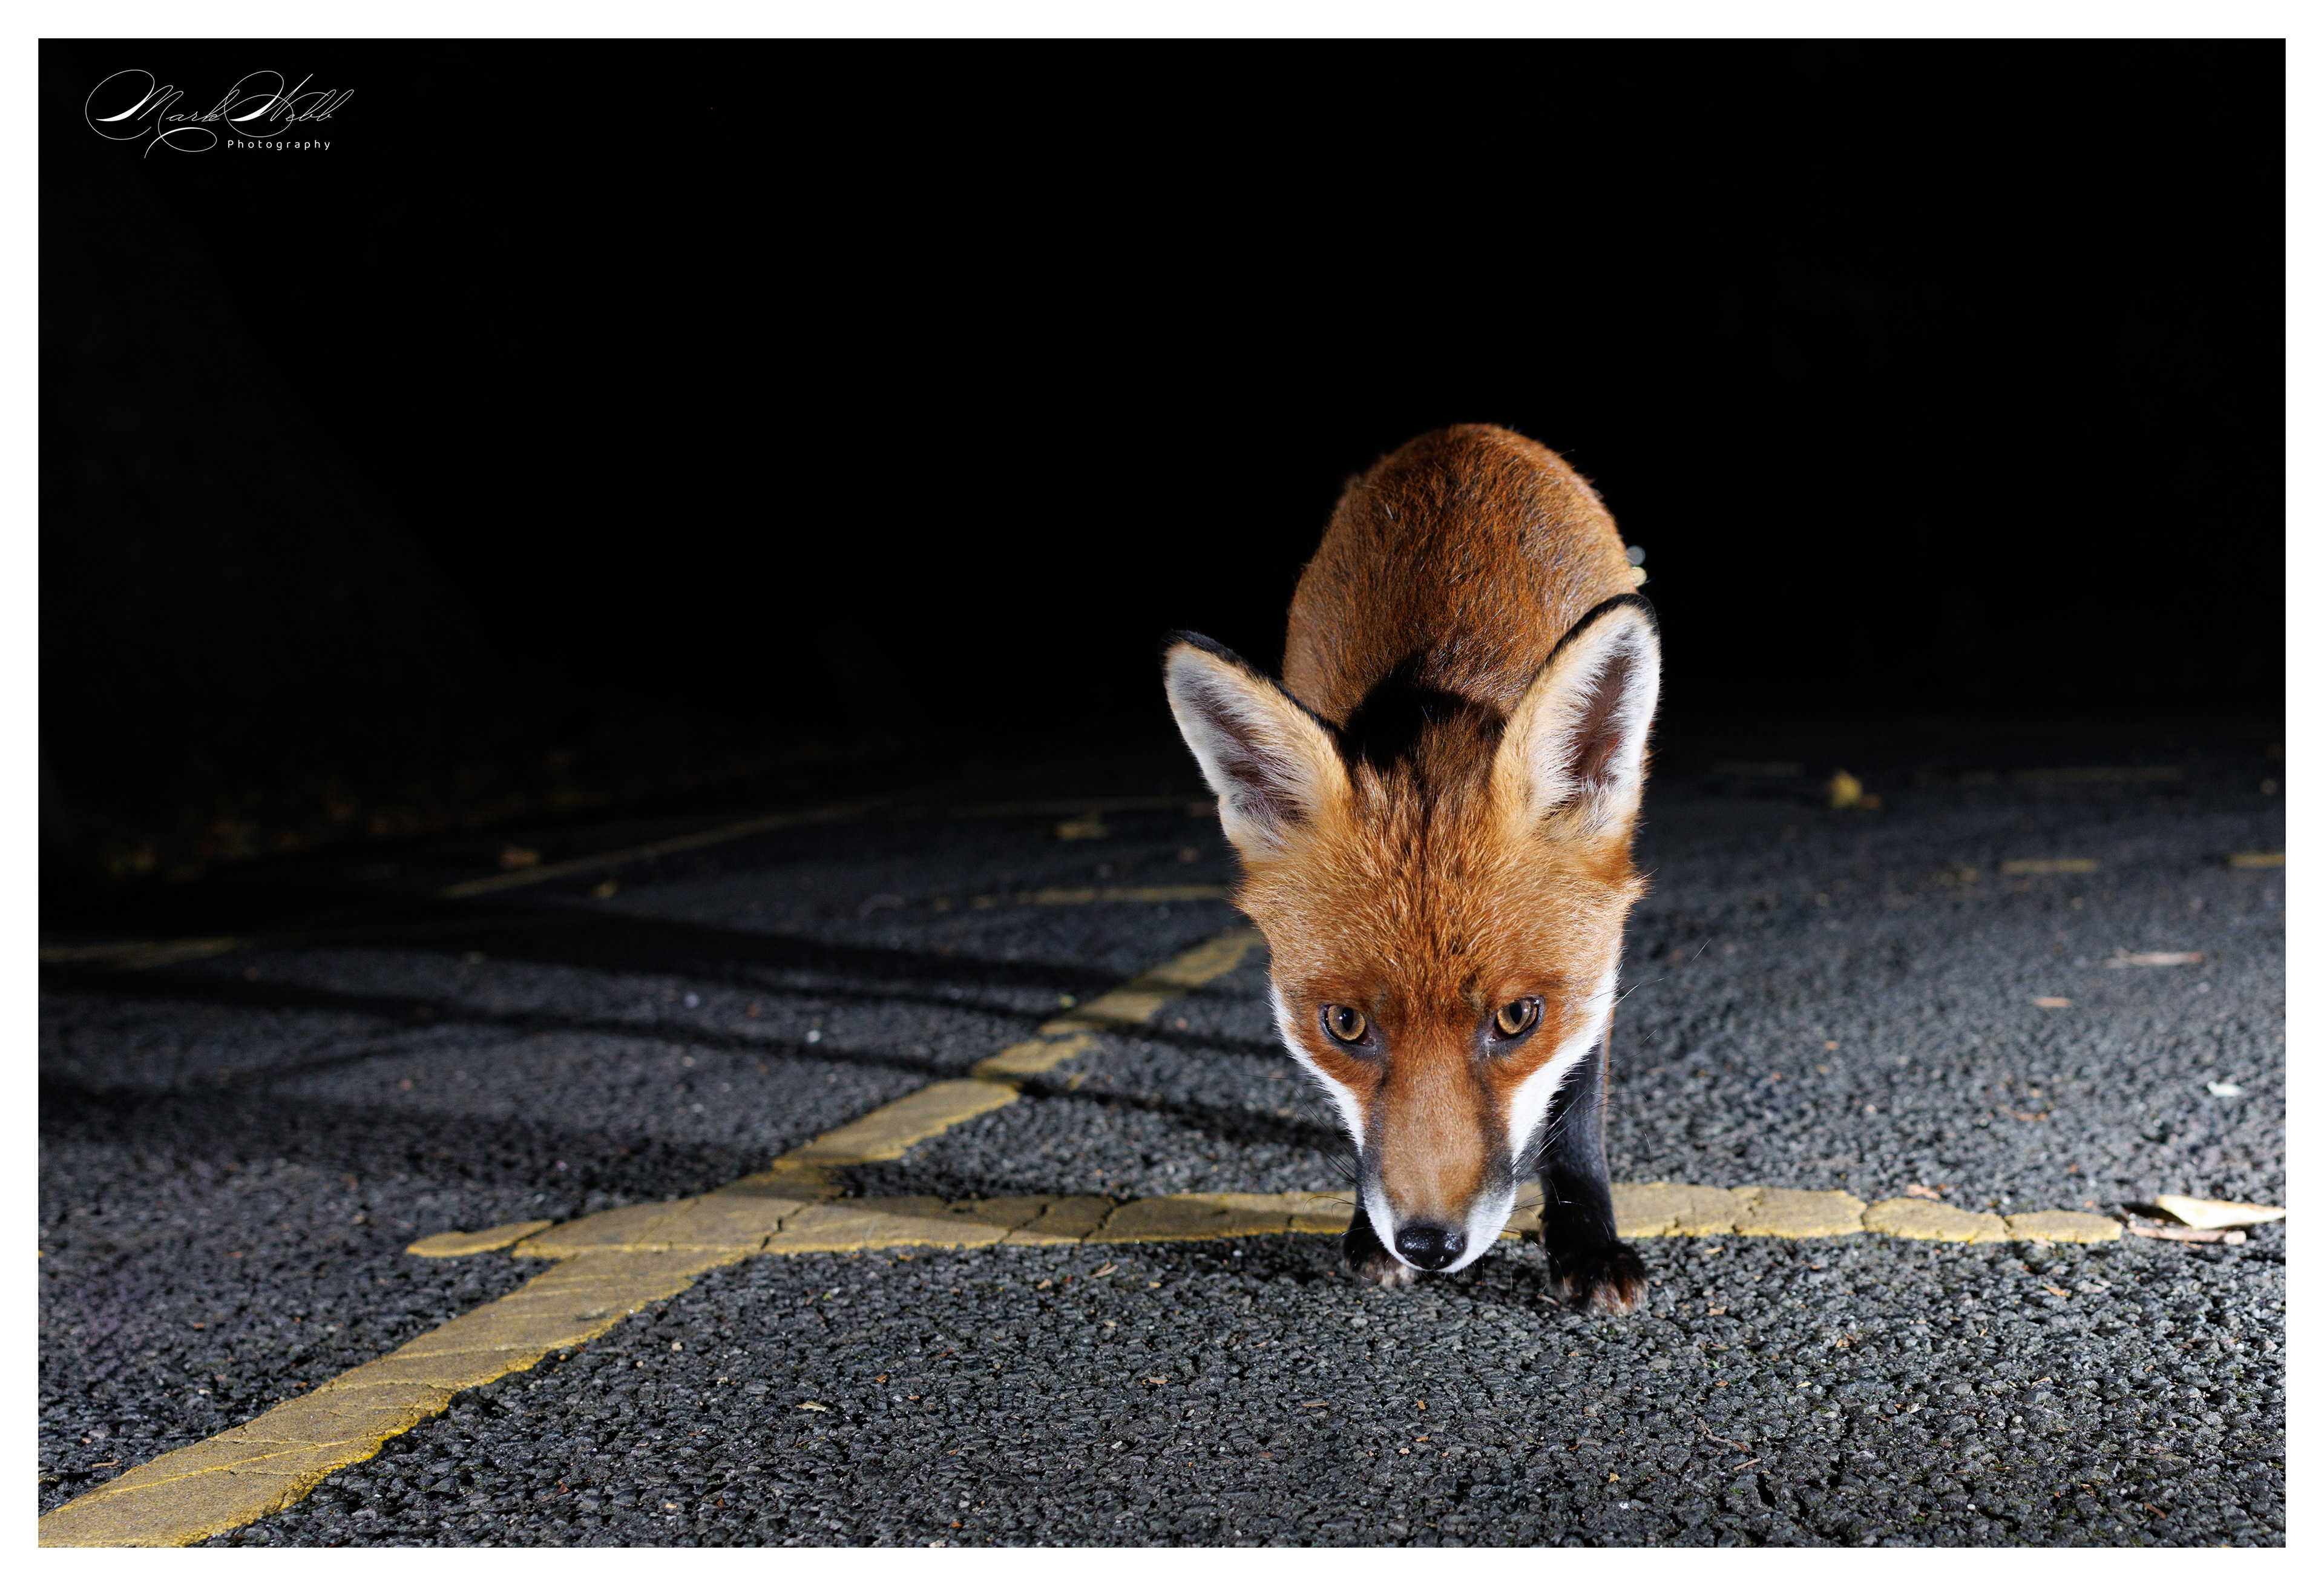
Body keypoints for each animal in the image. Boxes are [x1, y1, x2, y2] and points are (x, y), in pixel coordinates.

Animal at [1162, 424, 1658, 1314]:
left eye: (1518, 1018)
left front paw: (1587, 1241)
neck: (1442, 693)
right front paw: (1368, 1230)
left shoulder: (1600, 950)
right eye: (1345, 1025)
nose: (1430, 1245)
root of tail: (1469, 434)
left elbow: (1576, 1111)